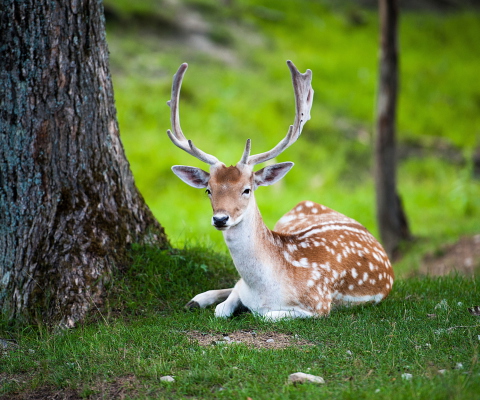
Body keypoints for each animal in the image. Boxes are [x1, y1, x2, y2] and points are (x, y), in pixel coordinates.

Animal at [166, 61, 394, 320]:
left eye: (247, 190)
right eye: (209, 190)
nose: (221, 219)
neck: (264, 289)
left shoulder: (319, 304)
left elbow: (263, 314)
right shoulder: (242, 288)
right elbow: (223, 307)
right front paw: (207, 301)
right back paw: (196, 299)